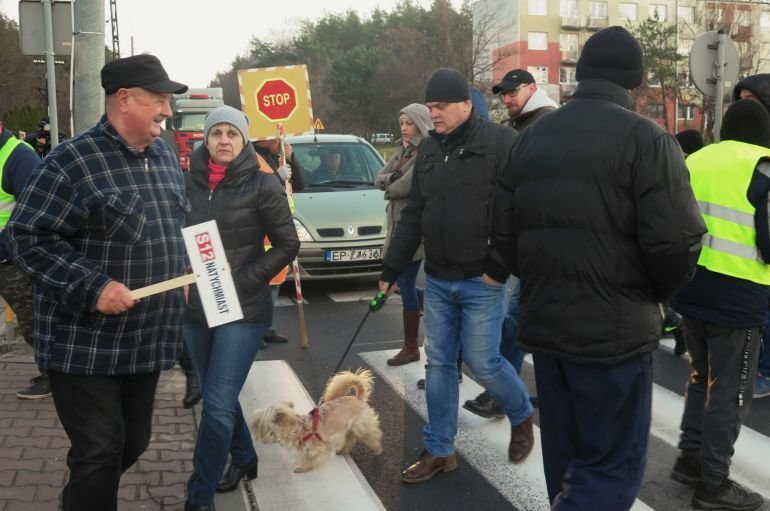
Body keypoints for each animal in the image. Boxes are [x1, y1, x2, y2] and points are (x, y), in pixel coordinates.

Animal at [249, 368, 380, 472]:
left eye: (257, 423)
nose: (252, 431)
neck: (299, 428)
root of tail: (358, 398)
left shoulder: (317, 449)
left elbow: (312, 459)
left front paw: (303, 467)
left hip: (362, 427)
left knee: (373, 436)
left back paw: (377, 449)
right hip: (349, 428)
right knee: (349, 439)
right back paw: (342, 450)